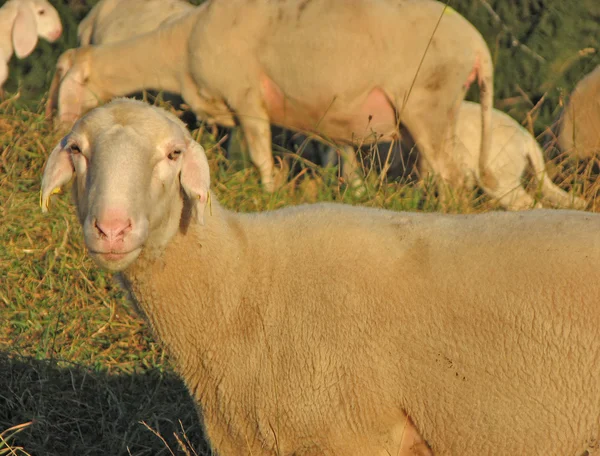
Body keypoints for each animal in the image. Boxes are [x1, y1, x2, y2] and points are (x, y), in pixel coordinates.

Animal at [48, 0, 496, 194]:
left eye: (64, 79)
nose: (54, 130)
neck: (180, 44)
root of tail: (479, 47)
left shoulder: (248, 99)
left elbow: (263, 158)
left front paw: (269, 194)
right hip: (431, 115)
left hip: (427, 104)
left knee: (454, 178)